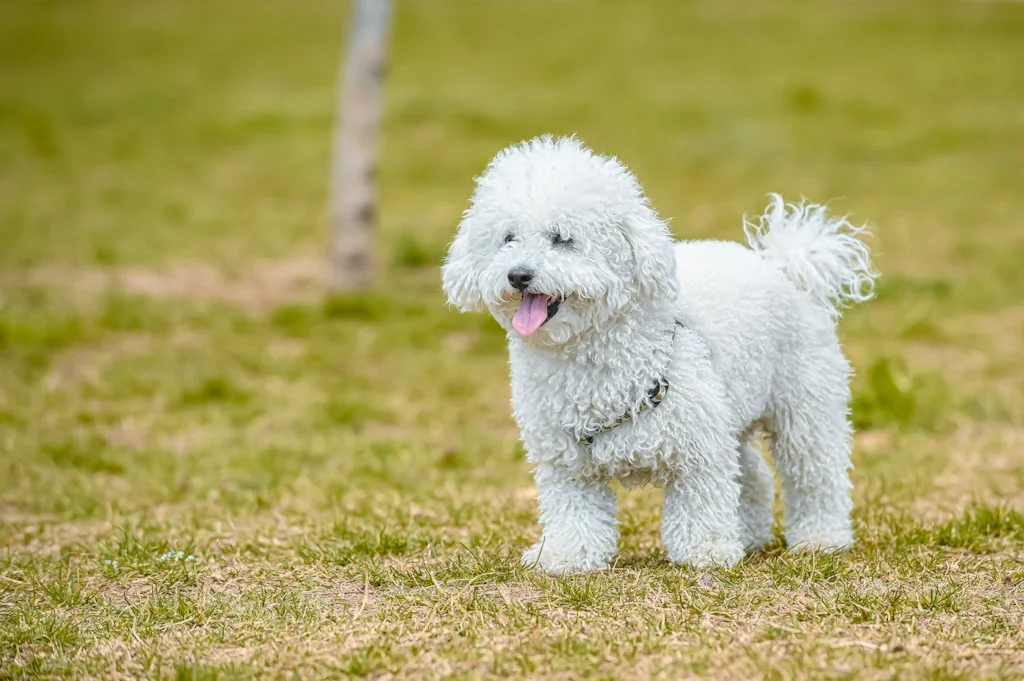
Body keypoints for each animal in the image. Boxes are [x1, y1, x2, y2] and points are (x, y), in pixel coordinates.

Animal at [440, 135, 880, 569]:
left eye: (563, 238)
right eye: (508, 238)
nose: (518, 275)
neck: (590, 355)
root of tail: (783, 267)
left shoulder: (698, 449)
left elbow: (701, 502)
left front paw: (706, 551)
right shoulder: (566, 463)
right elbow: (574, 512)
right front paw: (566, 555)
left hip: (804, 405)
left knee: (814, 473)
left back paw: (821, 538)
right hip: (732, 408)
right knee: (753, 474)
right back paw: (749, 536)